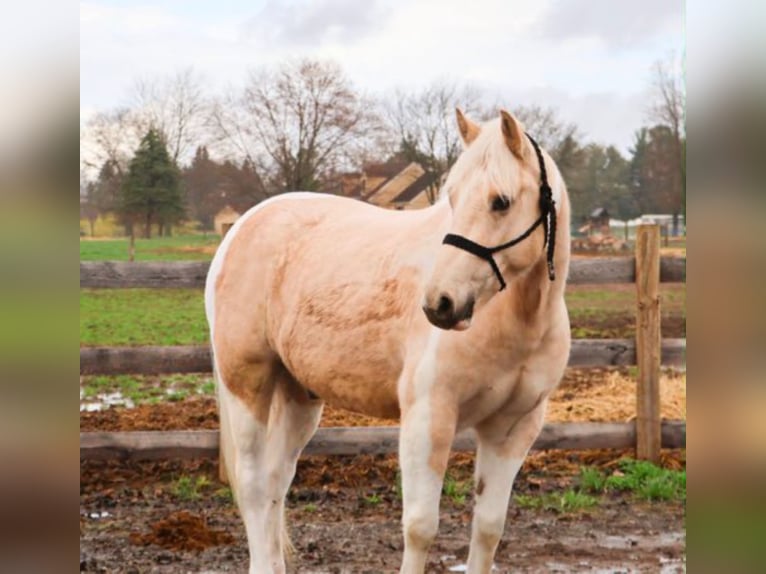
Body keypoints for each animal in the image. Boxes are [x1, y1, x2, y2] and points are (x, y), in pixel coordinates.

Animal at [205, 108, 571, 573]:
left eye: (500, 201)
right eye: (452, 198)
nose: (440, 304)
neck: (518, 320)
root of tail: (240, 230)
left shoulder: (512, 429)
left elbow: (489, 529)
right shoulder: (428, 416)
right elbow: (420, 527)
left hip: (299, 396)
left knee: (275, 484)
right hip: (247, 386)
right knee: (253, 486)